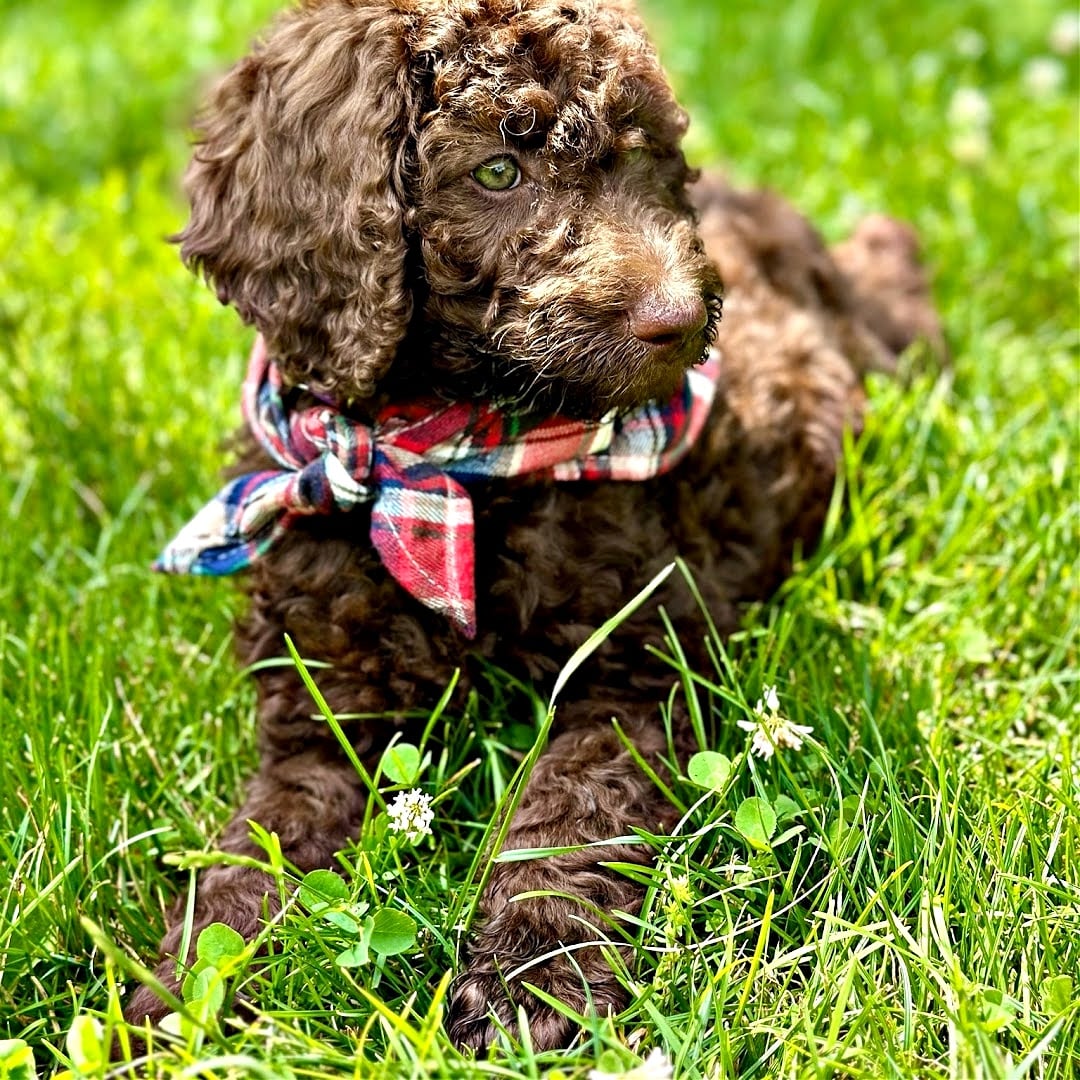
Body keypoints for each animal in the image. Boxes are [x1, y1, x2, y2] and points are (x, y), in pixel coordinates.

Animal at [124, 0, 937, 1054]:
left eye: (644, 159)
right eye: (498, 172)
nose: (680, 320)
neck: (454, 461)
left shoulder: (635, 673)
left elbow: (567, 810)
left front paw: (527, 976)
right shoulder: (319, 717)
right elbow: (259, 847)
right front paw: (171, 1002)